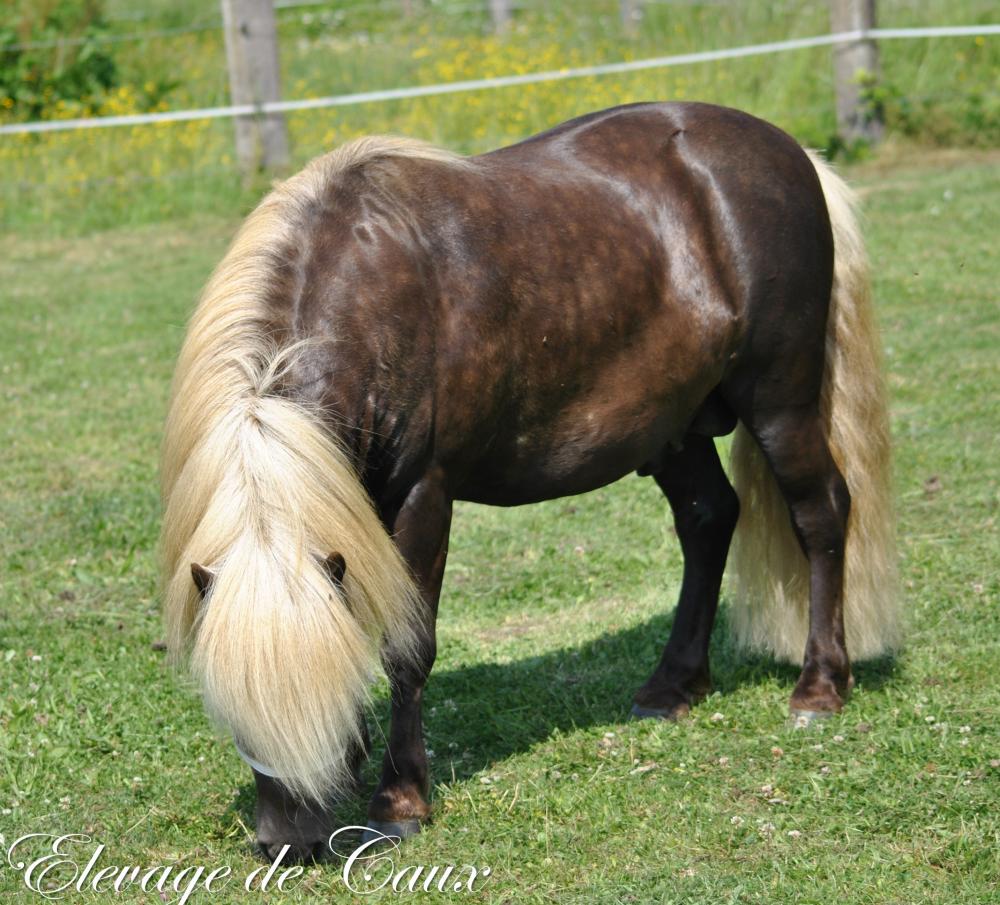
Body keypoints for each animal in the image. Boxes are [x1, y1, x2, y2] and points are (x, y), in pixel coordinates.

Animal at [162, 102, 900, 860]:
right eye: (230, 706)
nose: (289, 843)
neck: (368, 292)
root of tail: (793, 152)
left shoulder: (424, 495)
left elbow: (407, 649)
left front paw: (400, 799)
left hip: (780, 402)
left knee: (821, 512)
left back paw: (820, 686)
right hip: (672, 424)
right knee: (708, 518)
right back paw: (673, 685)